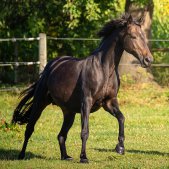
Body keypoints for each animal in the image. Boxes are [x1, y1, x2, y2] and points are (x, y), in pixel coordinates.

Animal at [11, 14, 153, 162]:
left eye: (143, 36)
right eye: (133, 36)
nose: (148, 59)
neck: (104, 70)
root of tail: (50, 66)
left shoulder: (109, 102)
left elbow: (121, 118)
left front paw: (120, 148)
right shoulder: (86, 102)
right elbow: (85, 131)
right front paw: (84, 157)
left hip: (69, 112)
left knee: (61, 135)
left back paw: (66, 157)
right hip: (40, 103)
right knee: (29, 128)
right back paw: (21, 155)